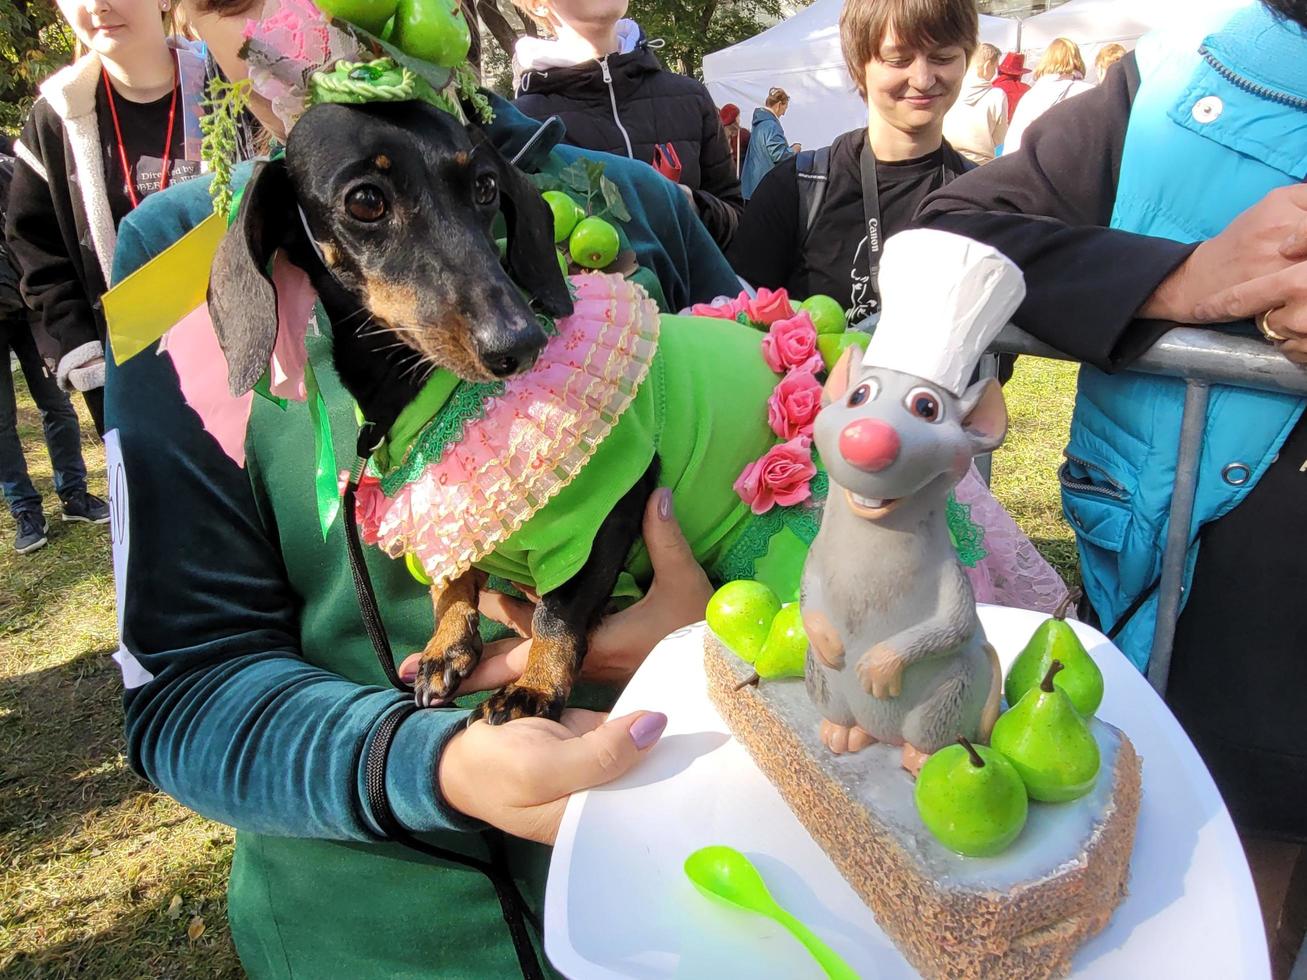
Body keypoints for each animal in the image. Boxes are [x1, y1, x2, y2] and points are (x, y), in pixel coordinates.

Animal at [215, 99, 663, 726]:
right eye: (366, 200)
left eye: (486, 186)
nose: (522, 343)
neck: (427, 394)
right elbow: (451, 578)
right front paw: (447, 644)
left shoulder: (612, 500)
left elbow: (558, 607)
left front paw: (534, 689)